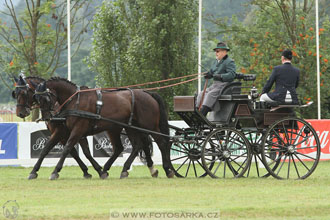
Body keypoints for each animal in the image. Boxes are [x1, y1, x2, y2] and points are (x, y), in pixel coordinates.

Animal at [34, 77, 175, 179]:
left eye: (46, 98)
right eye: (37, 99)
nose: (47, 117)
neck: (75, 100)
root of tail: (148, 93)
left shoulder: (78, 129)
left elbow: (68, 148)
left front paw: (55, 171)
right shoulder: (65, 131)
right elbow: (47, 149)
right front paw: (34, 171)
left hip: (150, 126)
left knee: (162, 143)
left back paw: (167, 169)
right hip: (130, 127)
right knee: (136, 145)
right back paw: (122, 169)